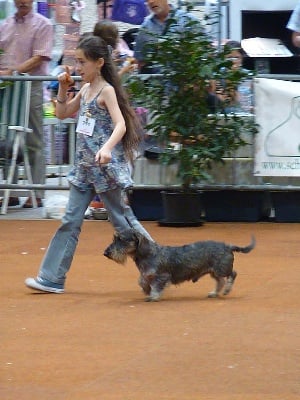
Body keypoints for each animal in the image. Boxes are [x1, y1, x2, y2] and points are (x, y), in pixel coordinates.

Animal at [103, 230, 255, 302]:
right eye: (114, 238)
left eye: (121, 239)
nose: (106, 253)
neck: (148, 254)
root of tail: (227, 245)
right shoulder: (147, 274)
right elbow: (142, 281)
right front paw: (146, 290)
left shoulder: (162, 276)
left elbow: (156, 286)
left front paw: (153, 296)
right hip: (214, 272)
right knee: (220, 282)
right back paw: (214, 293)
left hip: (221, 269)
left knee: (233, 274)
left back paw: (226, 290)